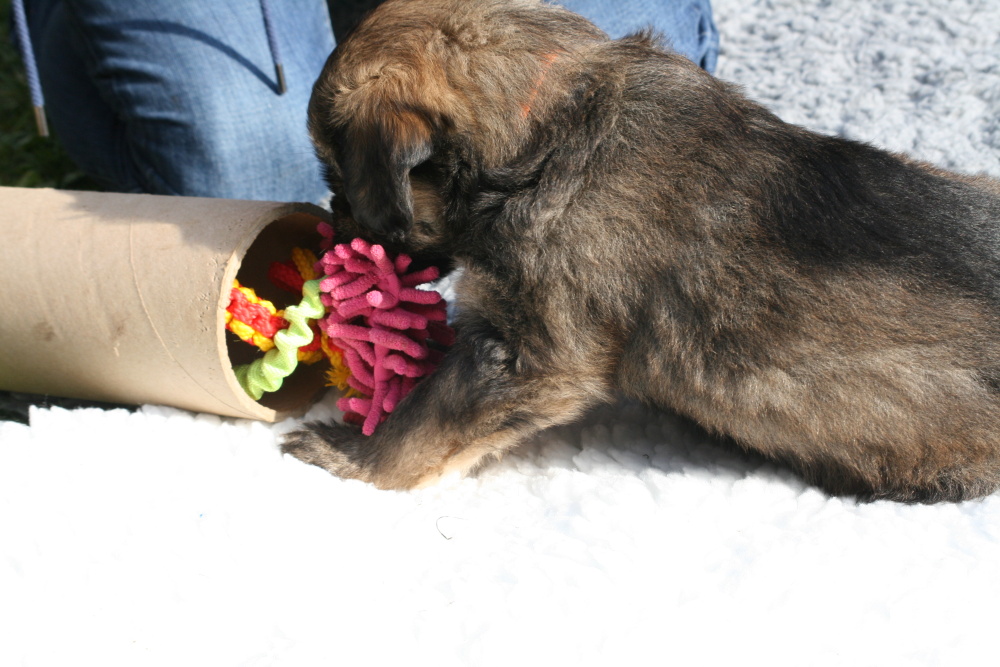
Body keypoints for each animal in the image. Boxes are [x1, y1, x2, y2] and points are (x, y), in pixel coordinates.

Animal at [280, 0, 1000, 500]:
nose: (329, 228)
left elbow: (426, 418)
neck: (544, 120)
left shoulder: (524, 353)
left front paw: (352, 458)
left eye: (343, 183)